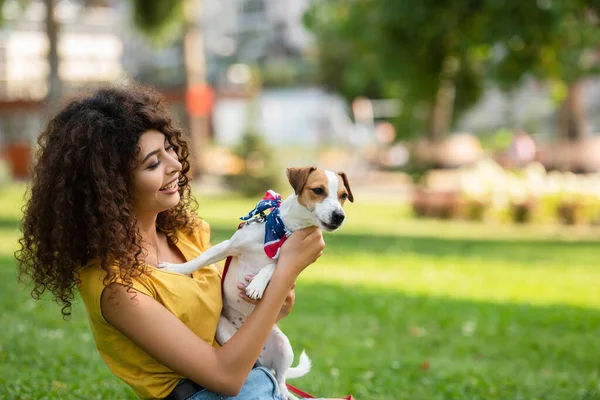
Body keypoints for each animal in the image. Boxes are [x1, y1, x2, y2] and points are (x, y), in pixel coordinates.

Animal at [162, 166, 354, 400]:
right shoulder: (227, 246)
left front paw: (256, 285)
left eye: (343, 195)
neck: (282, 229)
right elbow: (198, 260)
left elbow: (270, 267)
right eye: (318, 190)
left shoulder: (285, 264)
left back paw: (285, 393)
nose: (339, 216)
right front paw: (176, 270)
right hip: (225, 333)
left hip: (284, 346)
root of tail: (262, 357)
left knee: (281, 378)